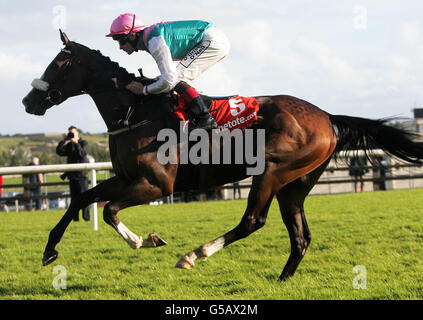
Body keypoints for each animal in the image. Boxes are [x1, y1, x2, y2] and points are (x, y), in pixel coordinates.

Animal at [21, 30, 423, 280]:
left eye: (58, 64)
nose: (27, 101)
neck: (135, 113)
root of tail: (326, 116)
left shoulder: (156, 186)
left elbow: (109, 211)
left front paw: (144, 240)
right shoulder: (125, 178)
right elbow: (81, 200)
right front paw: (49, 251)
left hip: (272, 171)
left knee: (252, 222)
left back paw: (193, 255)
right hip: (295, 184)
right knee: (300, 236)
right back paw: (281, 279)